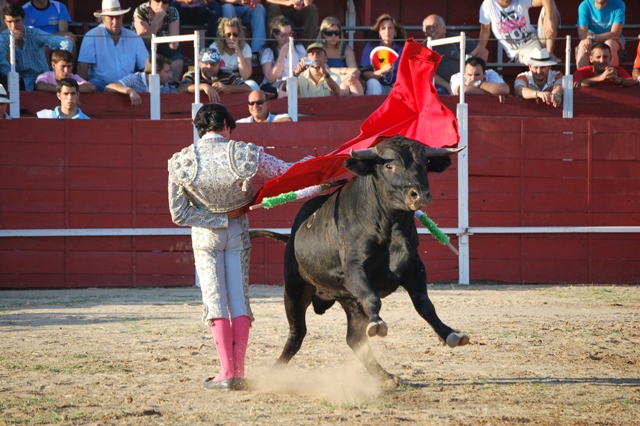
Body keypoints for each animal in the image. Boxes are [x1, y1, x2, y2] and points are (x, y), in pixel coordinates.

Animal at [252, 136, 468, 386]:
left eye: (424, 164)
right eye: (389, 165)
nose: (420, 195)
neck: (391, 226)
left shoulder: (414, 266)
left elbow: (425, 304)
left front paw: (451, 334)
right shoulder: (354, 267)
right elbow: (373, 298)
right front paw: (378, 324)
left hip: (349, 301)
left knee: (354, 338)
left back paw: (386, 376)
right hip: (294, 288)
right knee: (297, 333)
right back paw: (272, 373)